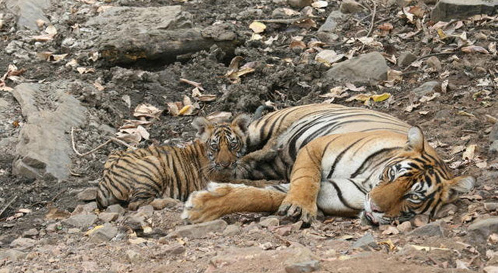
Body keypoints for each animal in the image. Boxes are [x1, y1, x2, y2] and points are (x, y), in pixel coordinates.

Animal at [182, 116, 474, 224]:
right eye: (392, 175)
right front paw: (299, 206)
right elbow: (305, 180)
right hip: (257, 129)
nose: (374, 208)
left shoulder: (331, 192)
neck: (369, 181)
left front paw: (201, 205)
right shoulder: (316, 147)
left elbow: (261, 196)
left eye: (413, 196)